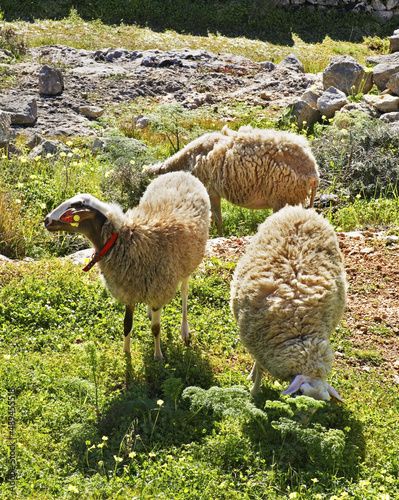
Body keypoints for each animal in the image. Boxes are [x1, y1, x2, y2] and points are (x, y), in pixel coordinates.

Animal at [45, 172, 211, 360]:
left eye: (77, 205)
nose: (46, 220)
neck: (122, 238)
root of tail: (182, 173)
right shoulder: (129, 290)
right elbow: (127, 324)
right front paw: (125, 353)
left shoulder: (158, 290)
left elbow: (156, 328)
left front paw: (158, 356)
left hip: (188, 262)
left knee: (184, 292)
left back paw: (184, 330)